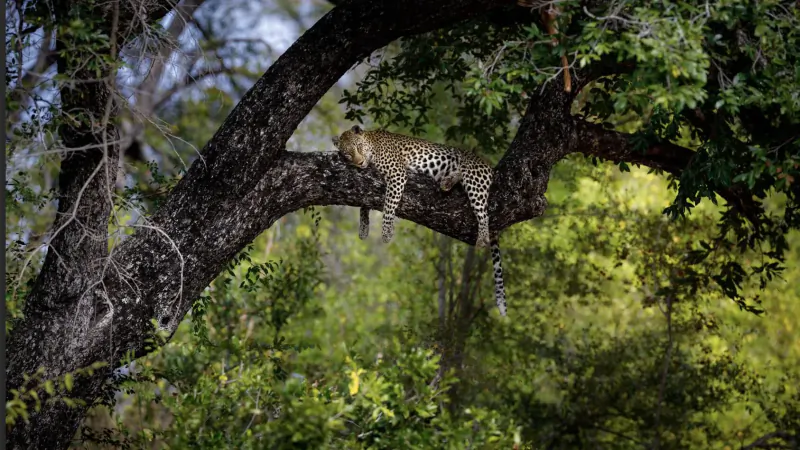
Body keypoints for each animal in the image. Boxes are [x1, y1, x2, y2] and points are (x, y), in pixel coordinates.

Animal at [332, 125, 507, 316]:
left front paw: (386, 233)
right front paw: (364, 229)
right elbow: (364, 204)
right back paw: (448, 181)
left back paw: (482, 238)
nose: (359, 162)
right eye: (347, 154)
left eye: (358, 147)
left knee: (484, 214)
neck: (371, 144)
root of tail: (488, 166)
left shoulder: (397, 173)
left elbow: (388, 205)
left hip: (475, 179)